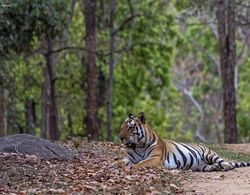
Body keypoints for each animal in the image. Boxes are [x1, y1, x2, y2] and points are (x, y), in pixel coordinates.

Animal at [118, 112, 250, 171]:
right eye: (122, 127)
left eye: (130, 127)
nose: (120, 137)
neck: (138, 146)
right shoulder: (131, 157)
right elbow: (122, 160)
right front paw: (117, 164)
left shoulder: (155, 158)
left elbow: (142, 163)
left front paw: (134, 167)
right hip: (199, 165)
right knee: (209, 166)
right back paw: (214, 168)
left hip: (209, 155)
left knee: (223, 161)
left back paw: (226, 166)